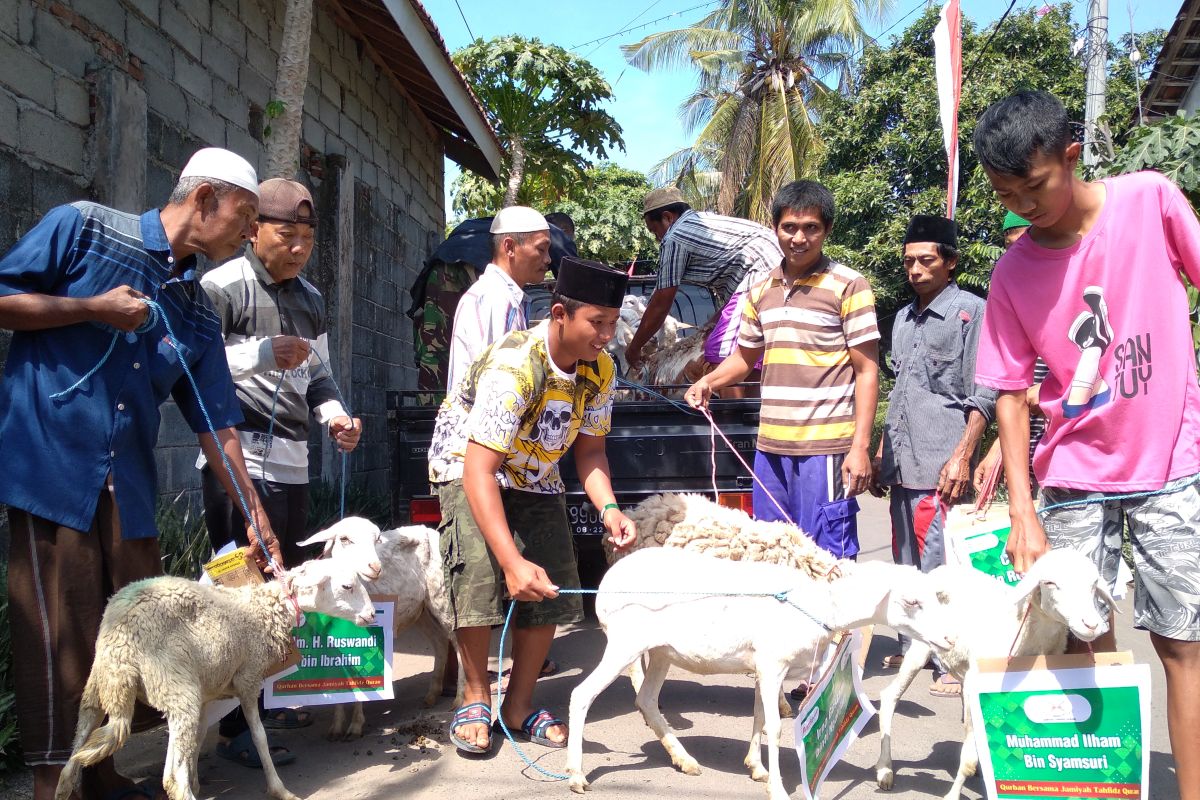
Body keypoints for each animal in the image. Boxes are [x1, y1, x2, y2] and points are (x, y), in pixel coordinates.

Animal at [54, 561, 374, 800]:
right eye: (347, 586)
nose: (372, 614)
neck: (262, 610)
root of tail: (121, 638)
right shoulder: (248, 679)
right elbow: (259, 736)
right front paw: (279, 789)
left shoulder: (207, 691)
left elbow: (196, 741)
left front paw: (197, 779)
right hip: (175, 686)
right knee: (172, 780)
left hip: (102, 686)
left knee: (70, 764)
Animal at [566, 546, 960, 800]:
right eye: (911, 601)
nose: (949, 638)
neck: (819, 605)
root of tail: (605, 583)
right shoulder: (773, 665)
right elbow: (775, 726)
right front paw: (779, 788)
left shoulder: (765, 667)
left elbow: (758, 717)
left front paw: (757, 768)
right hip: (624, 643)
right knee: (581, 695)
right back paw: (576, 775)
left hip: (661, 650)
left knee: (647, 700)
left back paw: (685, 760)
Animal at [873, 551, 1113, 800]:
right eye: (1049, 582)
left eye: (1094, 584)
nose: (1092, 625)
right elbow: (969, 756)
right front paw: (954, 793)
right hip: (923, 646)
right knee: (890, 696)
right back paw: (885, 770)